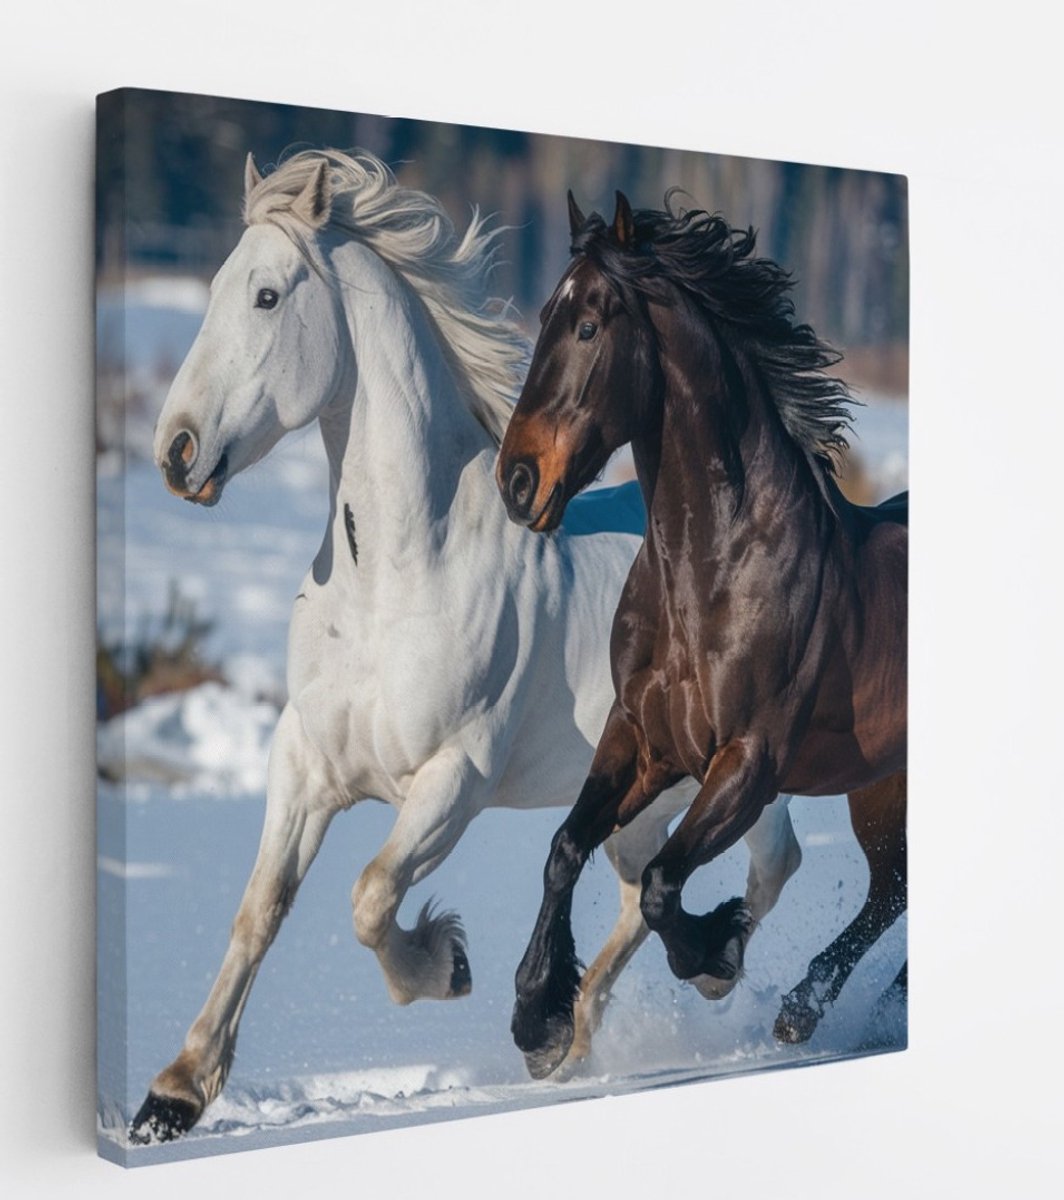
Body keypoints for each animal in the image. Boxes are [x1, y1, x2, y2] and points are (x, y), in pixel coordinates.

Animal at [129, 152, 807, 1143]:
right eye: (213, 287)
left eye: (266, 295)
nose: (176, 453)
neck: (402, 571)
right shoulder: (304, 760)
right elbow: (261, 909)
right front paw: (172, 1097)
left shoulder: (456, 777)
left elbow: (371, 894)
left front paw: (445, 963)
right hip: (640, 800)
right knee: (644, 888)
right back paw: (569, 1032)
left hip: (730, 776)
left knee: (767, 866)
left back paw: (690, 980)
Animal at [497, 191, 907, 1076]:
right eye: (543, 315)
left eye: (590, 324)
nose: (516, 481)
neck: (720, 569)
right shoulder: (643, 739)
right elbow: (564, 848)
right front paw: (540, 1021)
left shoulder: (748, 761)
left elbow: (658, 885)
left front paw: (719, 957)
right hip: (880, 786)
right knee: (893, 888)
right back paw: (821, 1007)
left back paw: (811, 1007)